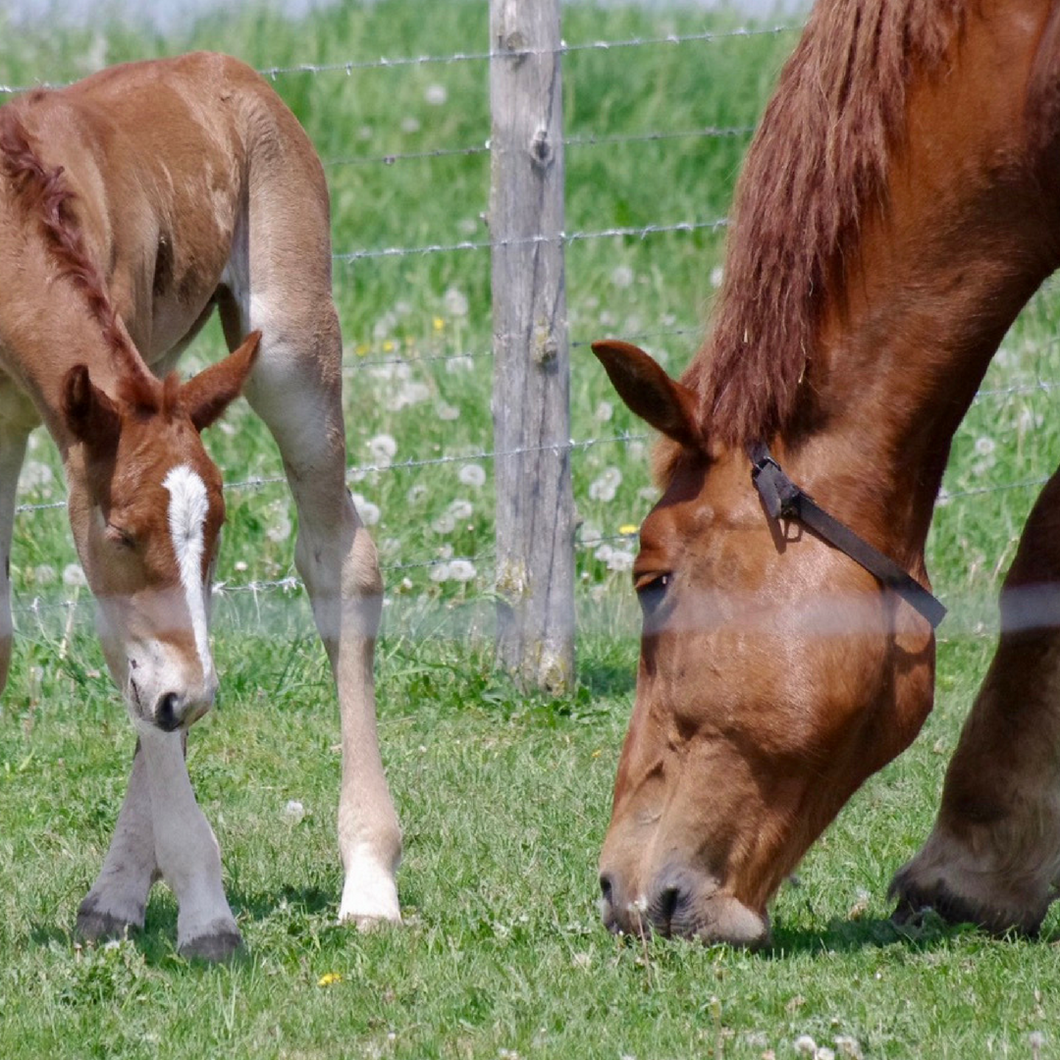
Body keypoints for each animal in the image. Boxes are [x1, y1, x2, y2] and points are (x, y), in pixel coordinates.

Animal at [0, 49, 400, 962]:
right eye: (121, 530)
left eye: (215, 526)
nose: (196, 699)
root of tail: (225, 66)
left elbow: (135, 666)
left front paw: (207, 915)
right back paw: (115, 895)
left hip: (288, 349)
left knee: (337, 562)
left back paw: (368, 877)